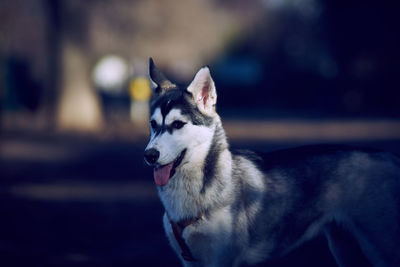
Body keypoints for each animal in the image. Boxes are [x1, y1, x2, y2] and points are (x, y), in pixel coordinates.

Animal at [145, 59, 400, 267]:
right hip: (345, 248)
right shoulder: (190, 261)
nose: (149, 155)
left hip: (381, 248)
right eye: (153, 124)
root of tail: (389, 156)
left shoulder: (222, 260)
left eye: (178, 124)